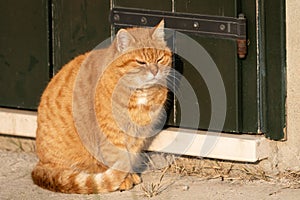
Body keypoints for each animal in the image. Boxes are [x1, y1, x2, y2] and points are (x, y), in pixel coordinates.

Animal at [31, 20, 172, 194]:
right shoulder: (112, 133)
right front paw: (124, 180)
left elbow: (129, 156)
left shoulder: (137, 136)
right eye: (141, 62)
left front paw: (130, 175)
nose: (155, 71)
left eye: (160, 59)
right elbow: (117, 158)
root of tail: (40, 163)